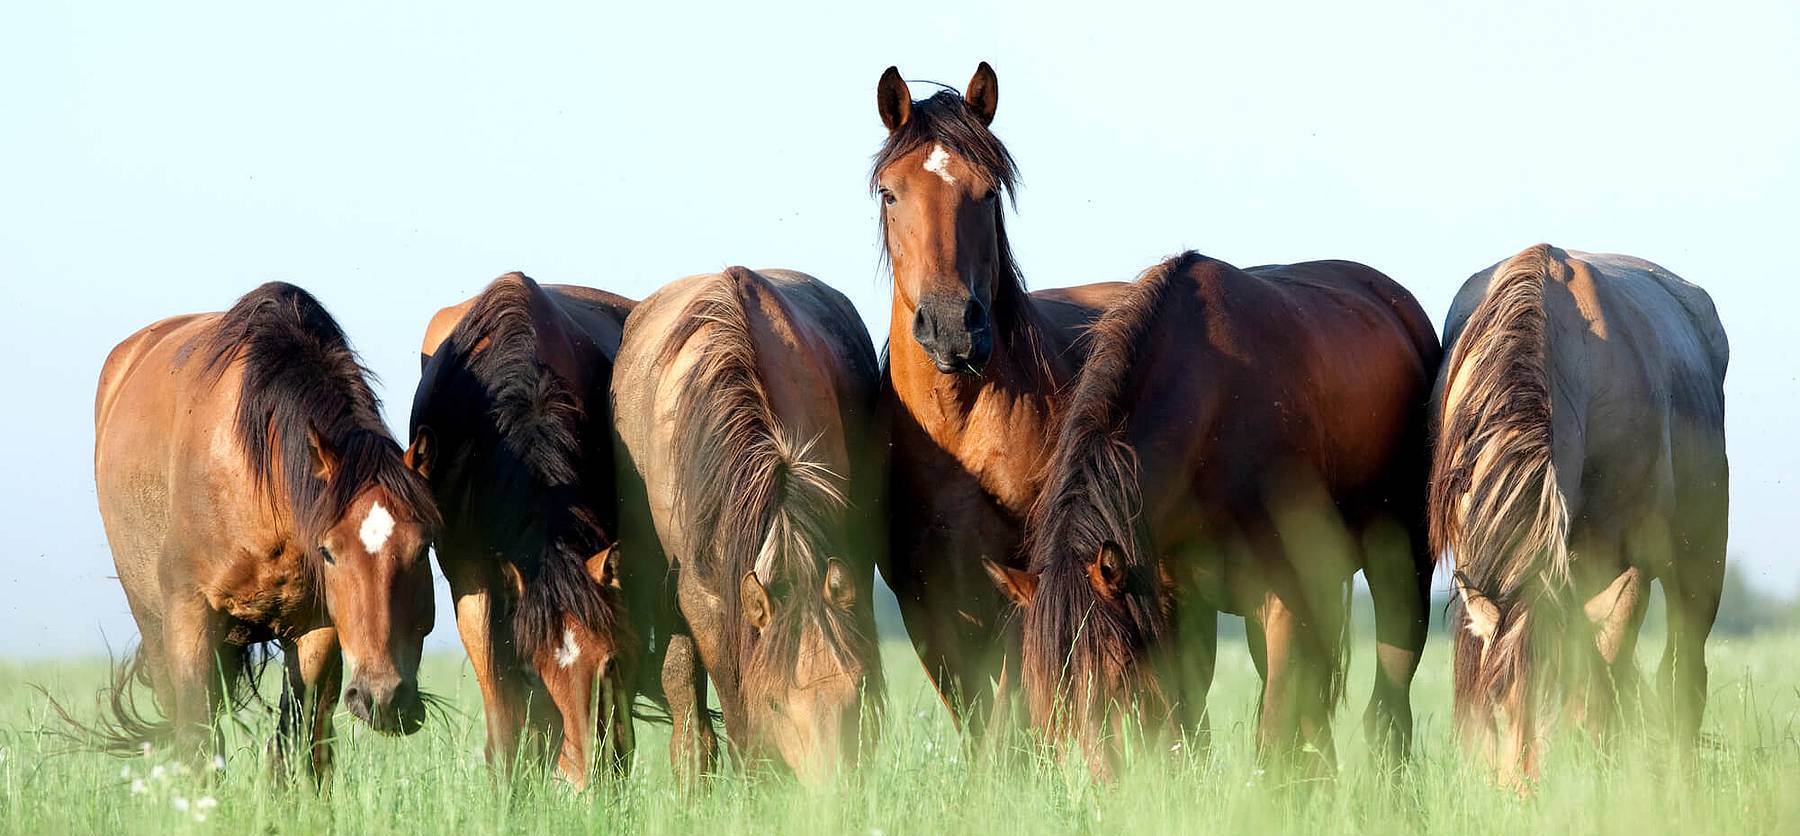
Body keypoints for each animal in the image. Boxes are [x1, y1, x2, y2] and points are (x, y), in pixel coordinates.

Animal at [90, 282, 439, 781]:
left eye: (424, 546)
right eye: (328, 552)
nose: (384, 697)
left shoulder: (316, 628)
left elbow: (295, 743)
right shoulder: (190, 615)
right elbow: (197, 738)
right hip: (154, 624)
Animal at [871, 62, 1131, 738]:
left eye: (988, 193)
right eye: (889, 193)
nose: (951, 326)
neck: (959, 427)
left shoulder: (1020, 584)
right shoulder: (926, 604)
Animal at [986, 251, 1440, 781]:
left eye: (1117, 675)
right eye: (1047, 695)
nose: (1102, 785)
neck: (1213, 416)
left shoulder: (1283, 601)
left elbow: (1274, 734)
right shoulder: (1177, 604)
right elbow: (1189, 725)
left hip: (1400, 573)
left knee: (1389, 699)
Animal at [1429, 244, 1729, 786]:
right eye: (1500, 702)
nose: (1525, 793)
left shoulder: (1628, 568)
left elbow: (1602, 674)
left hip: (1701, 564)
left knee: (1682, 681)